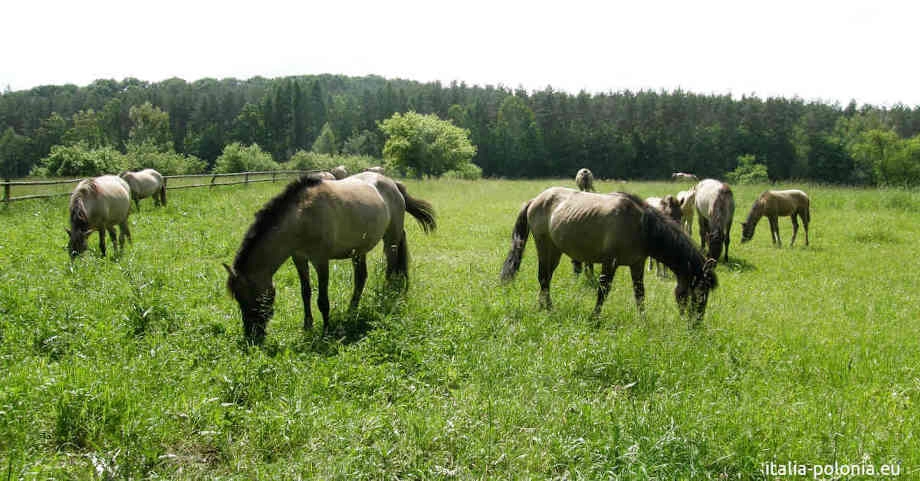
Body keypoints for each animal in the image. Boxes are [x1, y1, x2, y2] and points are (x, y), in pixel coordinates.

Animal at [225, 172, 436, 342]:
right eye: (238, 299)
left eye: (249, 297)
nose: (252, 336)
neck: (302, 216)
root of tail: (394, 184)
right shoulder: (299, 258)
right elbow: (305, 292)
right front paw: (307, 326)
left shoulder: (321, 260)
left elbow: (323, 300)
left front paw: (326, 331)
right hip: (359, 251)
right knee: (361, 278)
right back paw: (352, 311)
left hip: (390, 241)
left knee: (390, 272)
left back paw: (384, 300)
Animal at [504, 187, 720, 318]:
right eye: (700, 293)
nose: (696, 324)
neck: (641, 227)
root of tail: (535, 200)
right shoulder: (610, 262)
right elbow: (603, 291)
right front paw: (594, 318)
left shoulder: (637, 264)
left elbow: (640, 293)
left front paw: (643, 321)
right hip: (544, 245)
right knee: (542, 276)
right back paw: (548, 309)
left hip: (556, 250)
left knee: (546, 278)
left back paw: (543, 306)